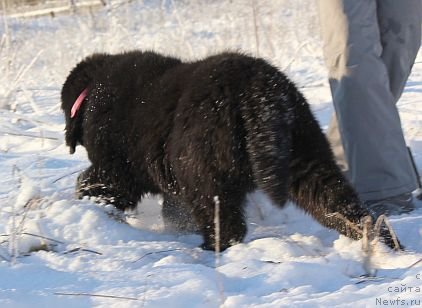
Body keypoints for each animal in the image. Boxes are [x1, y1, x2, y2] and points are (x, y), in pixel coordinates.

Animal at [61, 51, 398, 250]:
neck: (92, 92)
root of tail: (259, 91)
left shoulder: (116, 170)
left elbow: (95, 184)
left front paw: (88, 205)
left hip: (206, 178)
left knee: (227, 226)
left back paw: (211, 250)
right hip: (308, 158)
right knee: (343, 206)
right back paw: (384, 245)